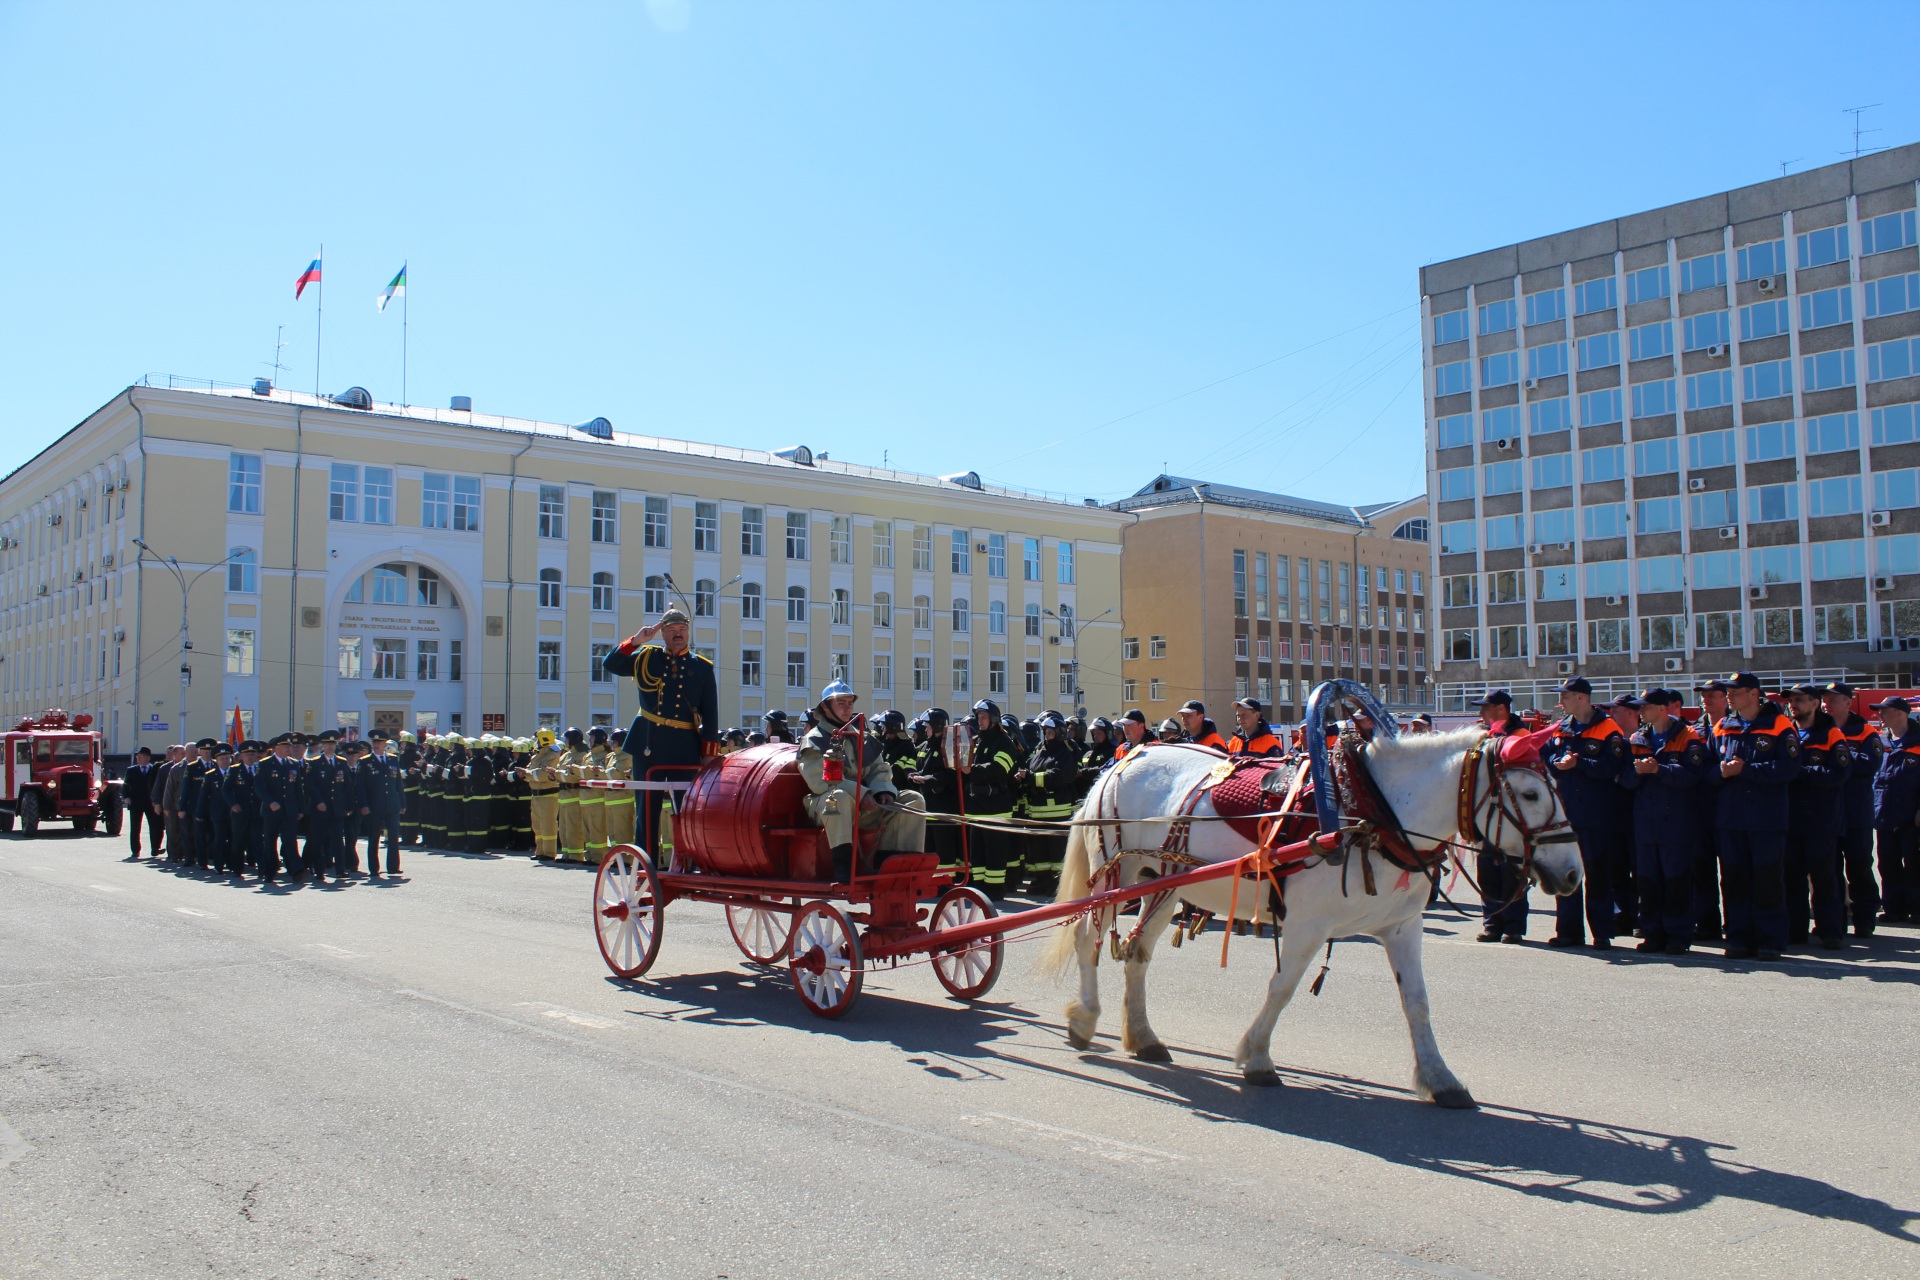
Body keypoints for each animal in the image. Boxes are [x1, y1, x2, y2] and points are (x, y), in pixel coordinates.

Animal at [1044, 729, 1582, 1113]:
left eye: (1554, 787)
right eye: (1530, 794)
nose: (1573, 873)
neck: (1373, 814)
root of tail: (1126, 759)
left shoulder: (1402, 928)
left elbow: (1418, 1004)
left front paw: (1439, 1079)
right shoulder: (1306, 925)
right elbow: (1281, 989)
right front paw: (1257, 1056)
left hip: (1165, 884)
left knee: (1137, 953)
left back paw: (1143, 1036)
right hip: (1116, 875)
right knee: (1087, 939)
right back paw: (1085, 1019)